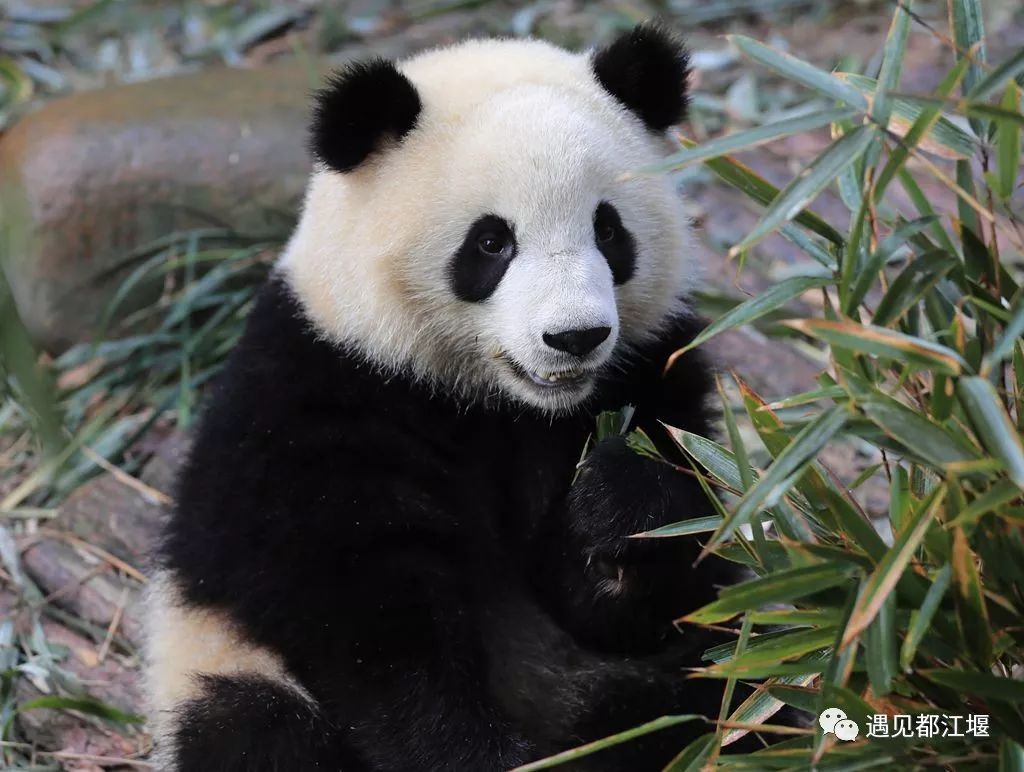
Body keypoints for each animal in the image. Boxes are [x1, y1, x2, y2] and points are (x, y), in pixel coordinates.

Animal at [146, 24, 737, 769]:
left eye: (608, 229)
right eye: (491, 242)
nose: (575, 337)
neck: (500, 402)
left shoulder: (652, 365)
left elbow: (659, 583)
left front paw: (619, 504)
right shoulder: (322, 399)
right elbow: (373, 619)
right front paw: (475, 754)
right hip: (214, 653)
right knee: (257, 730)